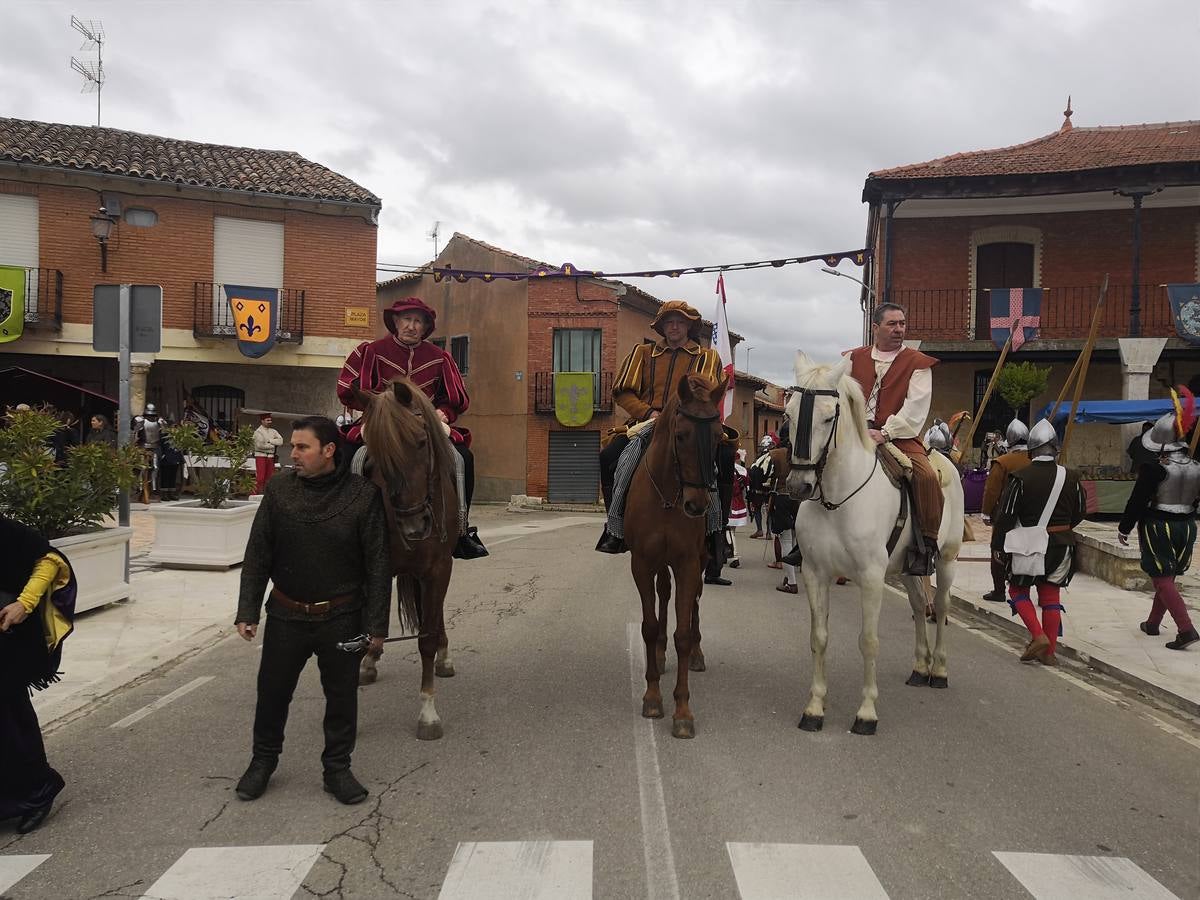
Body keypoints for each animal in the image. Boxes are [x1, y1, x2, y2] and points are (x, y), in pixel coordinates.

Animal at [350, 379, 460, 739]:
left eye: (422, 442)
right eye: (374, 457)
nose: (414, 526)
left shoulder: (438, 569)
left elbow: (426, 637)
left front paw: (428, 713)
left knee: (434, 616)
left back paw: (444, 657)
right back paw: (371, 660)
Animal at [624, 372, 724, 739]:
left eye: (719, 436)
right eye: (681, 435)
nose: (697, 505)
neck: (668, 495)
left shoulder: (688, 564)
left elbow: (682, 631)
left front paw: (682, 710)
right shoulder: (641, 564)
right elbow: (650, 626)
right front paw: (652, 696)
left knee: (692, 604)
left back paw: (696, 653)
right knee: (664, 596)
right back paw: (661, 653)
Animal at [777, 352, 964, 734]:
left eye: (829, 416)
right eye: (788, 415)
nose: (800, 486)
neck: (837, 500)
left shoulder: (871, 578)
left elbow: (869, 641)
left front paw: (866, 712)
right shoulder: (815, 574)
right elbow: (819, 637)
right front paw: (815, 707)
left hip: (947, 561)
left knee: (940, 606)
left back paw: (938, 670)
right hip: (908, 568)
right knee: (918, 605)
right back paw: (919, 667)